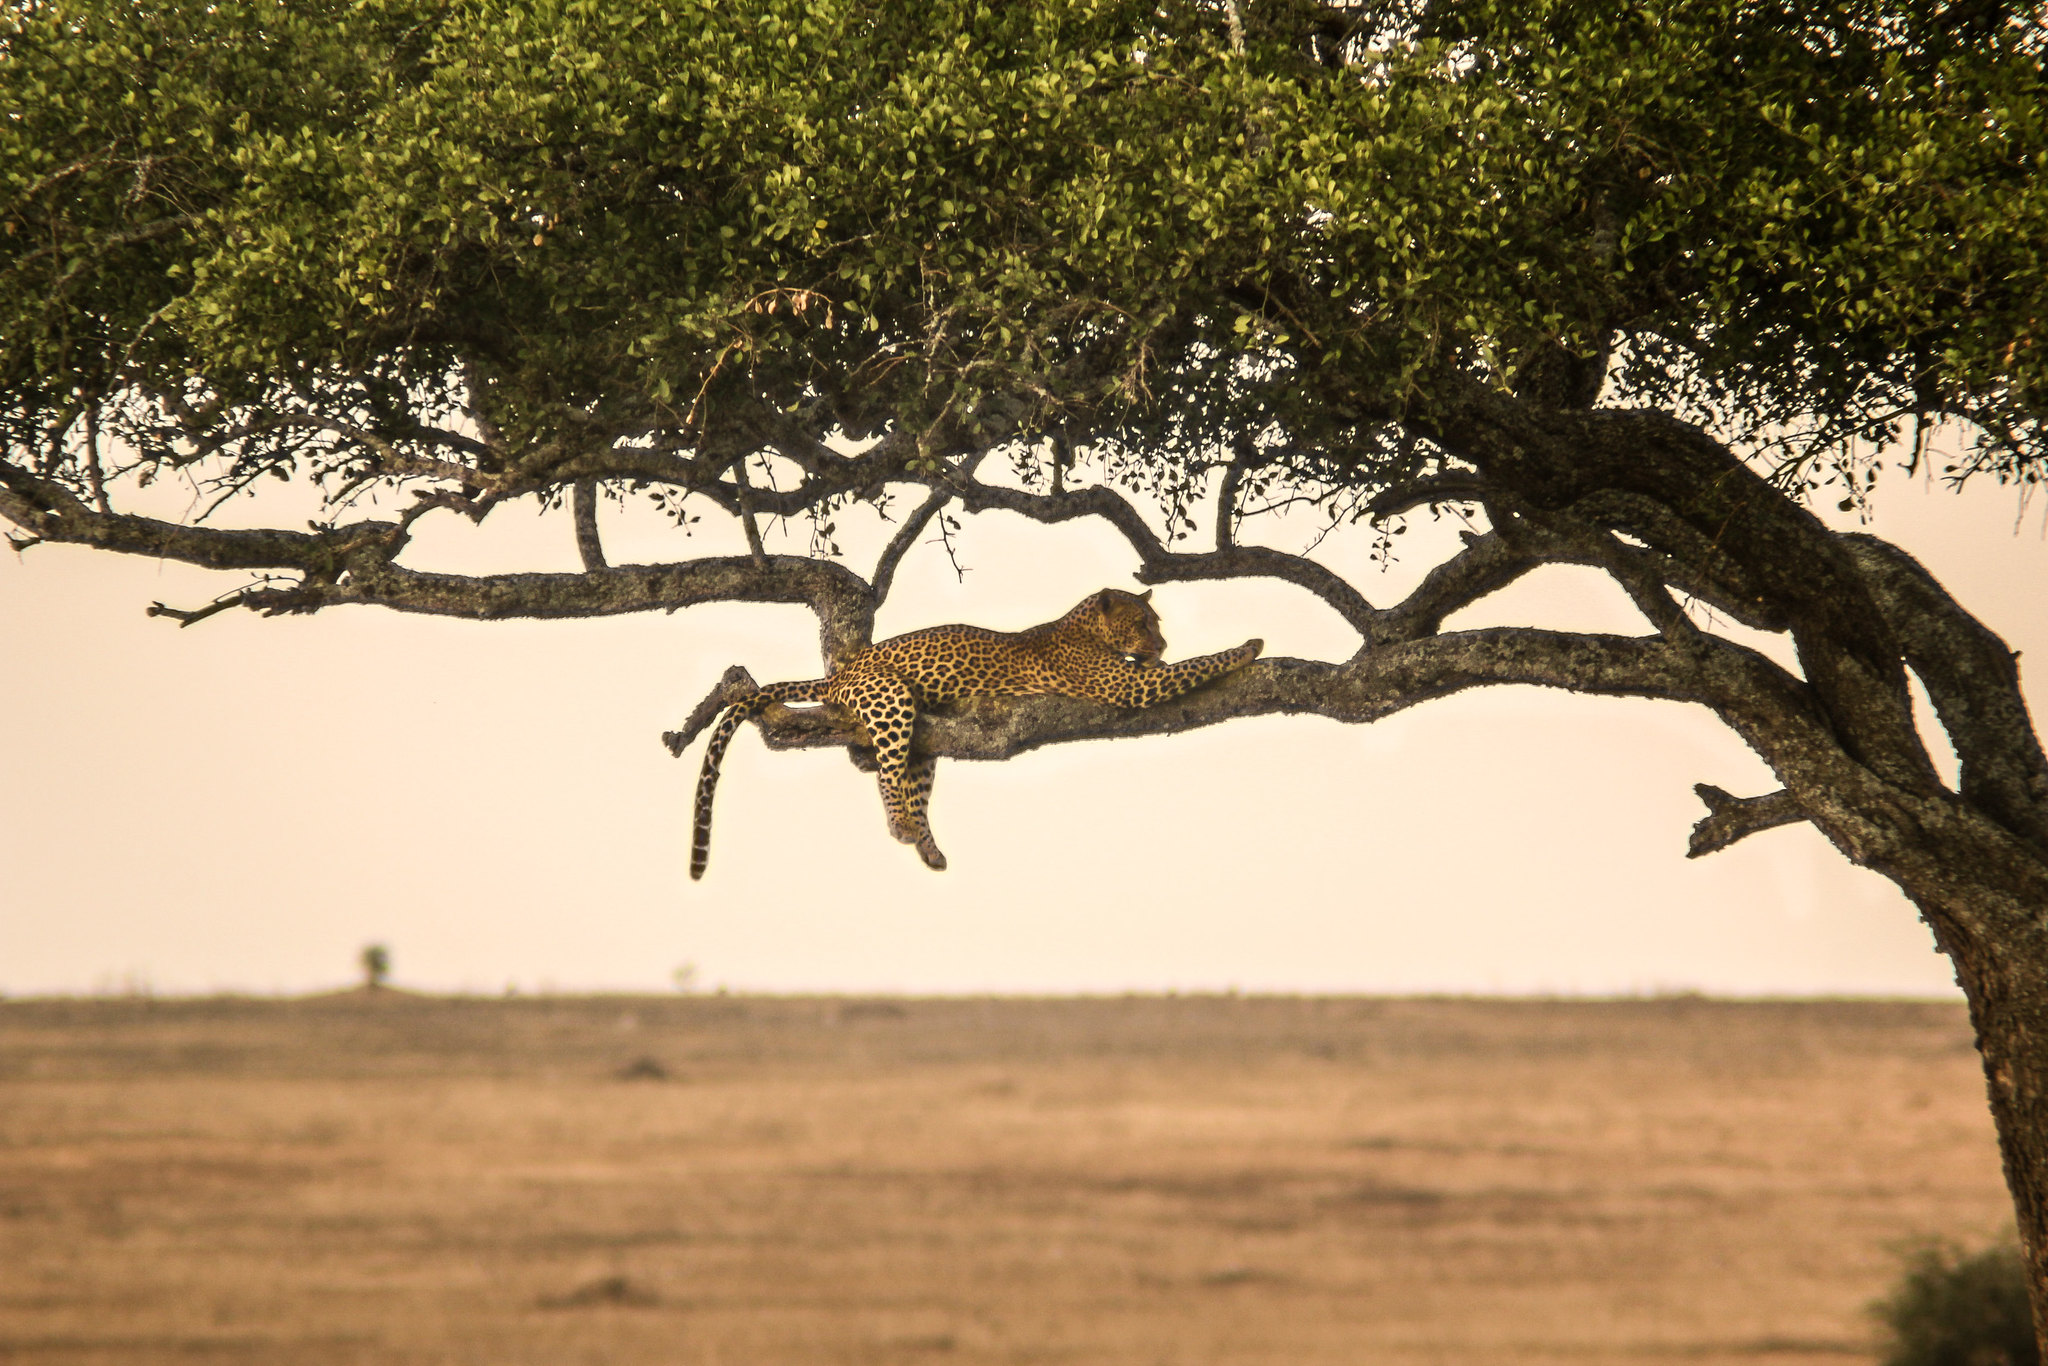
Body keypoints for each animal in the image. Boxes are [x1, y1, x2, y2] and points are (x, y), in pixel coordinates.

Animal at [688, 589, 1261, 876]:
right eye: (1142, 623)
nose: (1160, 642)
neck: (1084, 628)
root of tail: (841, 671)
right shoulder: (1128, 684)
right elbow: (1195, 665)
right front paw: (1249, 646)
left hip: (921, 736)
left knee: (905, 777)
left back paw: (928, 847)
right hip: (890, 697)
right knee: (888, 771)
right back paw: (903, 828)